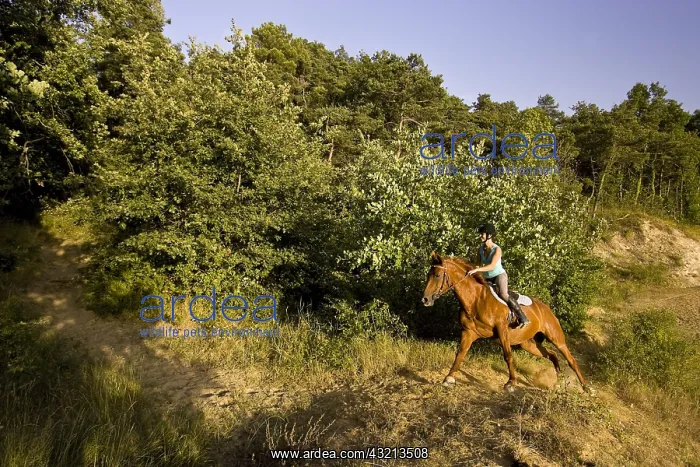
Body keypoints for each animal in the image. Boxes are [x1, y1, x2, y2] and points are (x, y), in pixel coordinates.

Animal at [421, 251, 589, 393]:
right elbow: (460, 353)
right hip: (526, 343)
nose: (425, 299)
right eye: (428, 275)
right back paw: (557, 380)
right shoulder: (469, 332)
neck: (475, 299)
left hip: (556, 338)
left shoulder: (502, 330)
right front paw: (449, 378)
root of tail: (546, 308)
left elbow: (508, 356)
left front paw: (511, 383)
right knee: (551, 354)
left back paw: (586, 387)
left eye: (437, 275)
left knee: (571, 360)